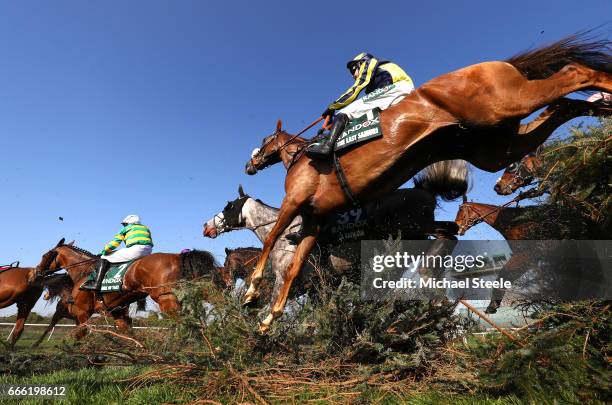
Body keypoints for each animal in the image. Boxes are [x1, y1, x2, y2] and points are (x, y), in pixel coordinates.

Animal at [30, 237, 220, 334]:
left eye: (44, 255)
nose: (34, 273)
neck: (84, 271)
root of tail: (178, 256)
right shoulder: (118, 312)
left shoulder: (82, 312)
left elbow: (79, 336)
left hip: (166, 299)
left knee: (185, 323)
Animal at [244, 34, 612, 332]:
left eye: (263, 140)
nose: (250, 164)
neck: (300, 158)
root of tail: (497, 63)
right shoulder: (315, 220)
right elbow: (294, 268)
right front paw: (269, 317)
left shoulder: (295, 202)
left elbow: (271, 239)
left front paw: (251, 291)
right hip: (495, 146)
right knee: (565, 105)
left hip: (504, 105)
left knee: (574, 73)